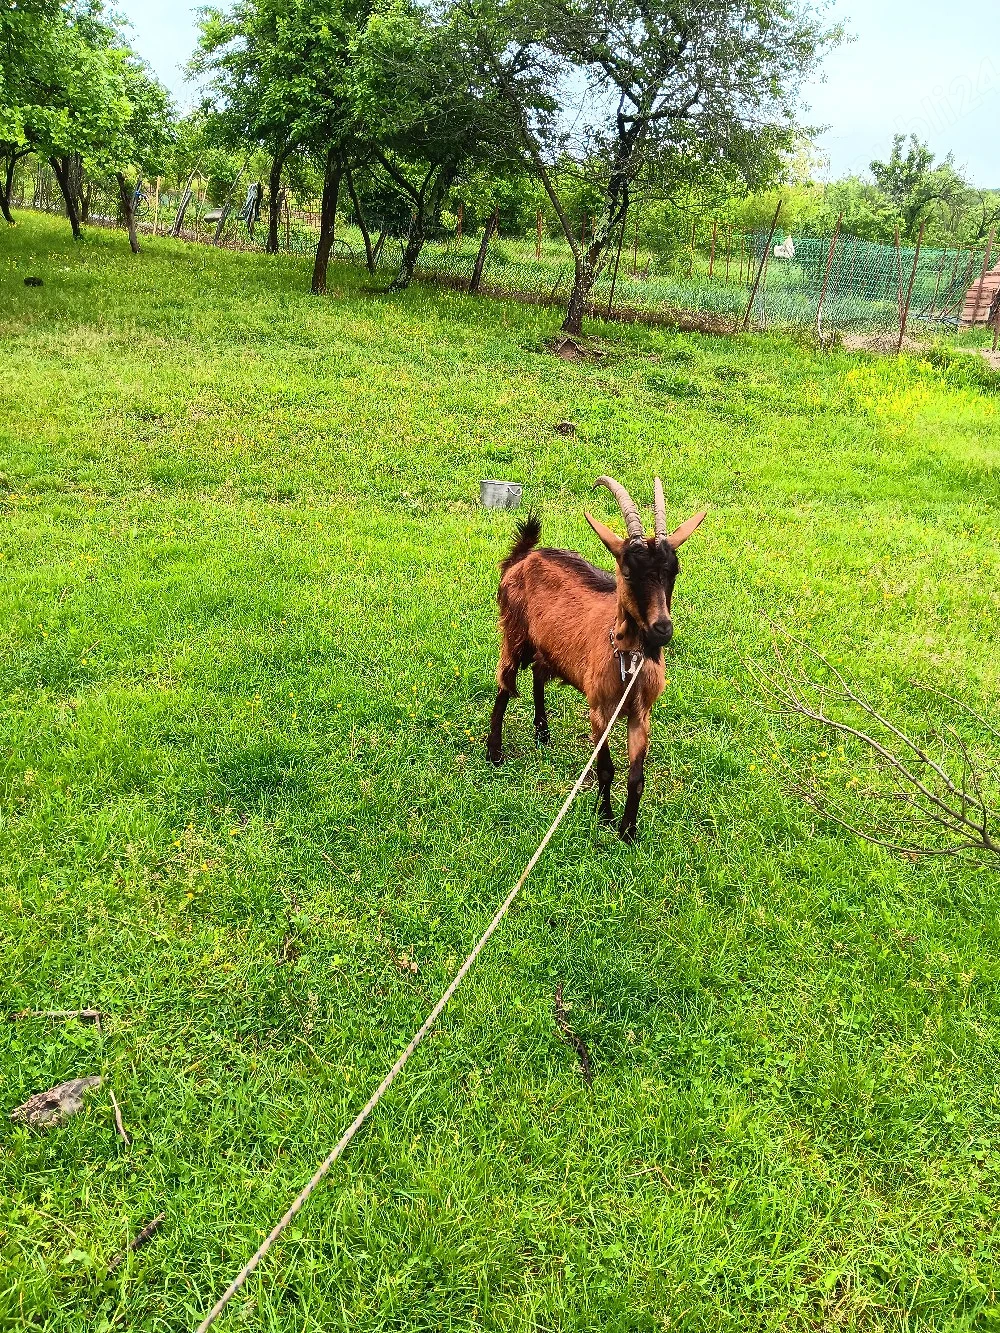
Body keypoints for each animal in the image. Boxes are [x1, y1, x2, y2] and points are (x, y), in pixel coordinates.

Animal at [487, 476, 706, 841]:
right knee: (505, 683)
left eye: (674, 571)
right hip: (515, 632)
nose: (661, 630)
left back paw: (542, 732)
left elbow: (636, 777)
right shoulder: (600, 710)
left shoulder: (641, 714)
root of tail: (524, 556)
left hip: (548, 644)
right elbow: (605, 768)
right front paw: (604, 816)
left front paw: (628, 831)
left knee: (538, 673)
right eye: (627, 572)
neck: (626, 658)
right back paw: (494, 752)